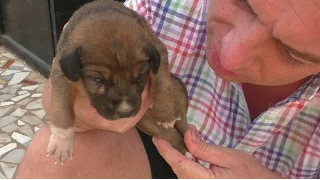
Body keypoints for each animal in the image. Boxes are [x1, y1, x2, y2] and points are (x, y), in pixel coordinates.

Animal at [48, 0, 190, 163]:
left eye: (141, 76)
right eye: (97, 80)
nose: (125, 112)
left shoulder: (159, 51)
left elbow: (163, 83)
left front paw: (165, 113)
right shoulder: (60, 72)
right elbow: (62, 107)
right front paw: (62, 141)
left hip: (178, 92)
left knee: (183, 126)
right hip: (148, 124)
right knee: (172, 136)